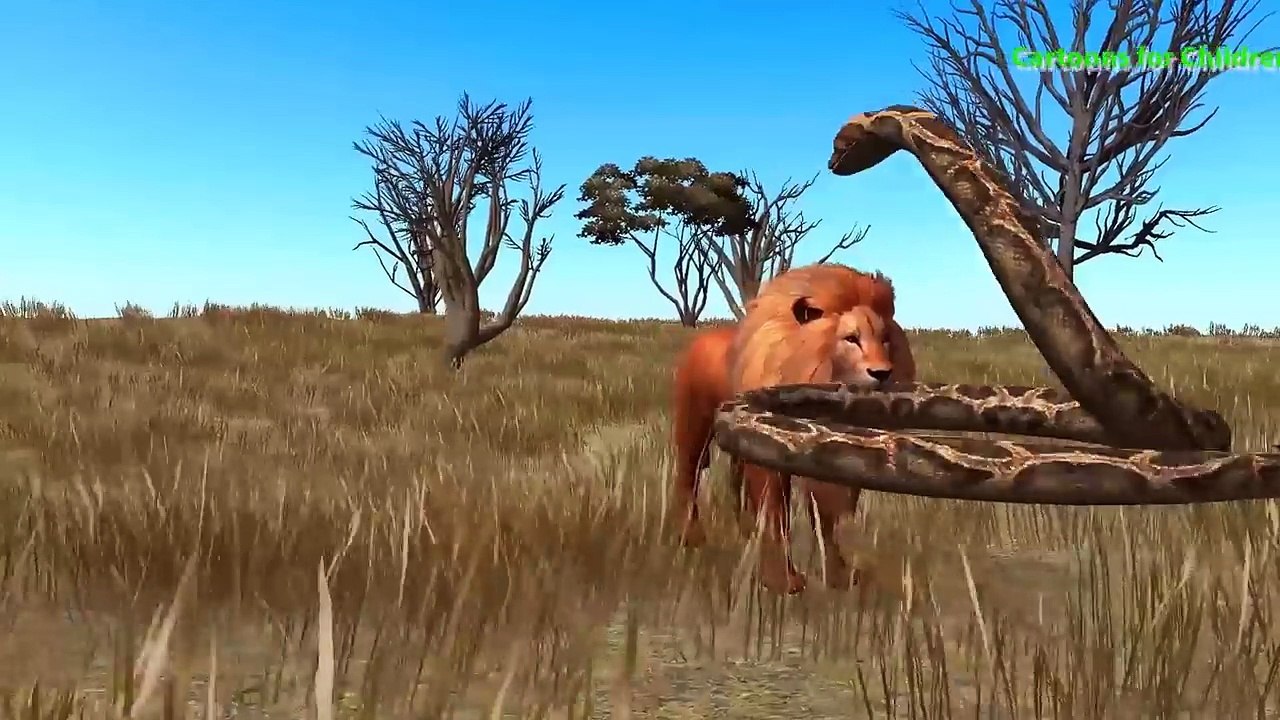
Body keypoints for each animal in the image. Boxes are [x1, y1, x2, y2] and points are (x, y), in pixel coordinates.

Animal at [670, 263, 916, 594]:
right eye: (851, 338)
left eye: (886, 338)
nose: (883, 373)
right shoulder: (768, 458)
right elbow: (776, 514)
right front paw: (784, 581)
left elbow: (828, 519)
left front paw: (839, 577)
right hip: (695, 426)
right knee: (690, 475)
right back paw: (691, 537)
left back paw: (744, 534)